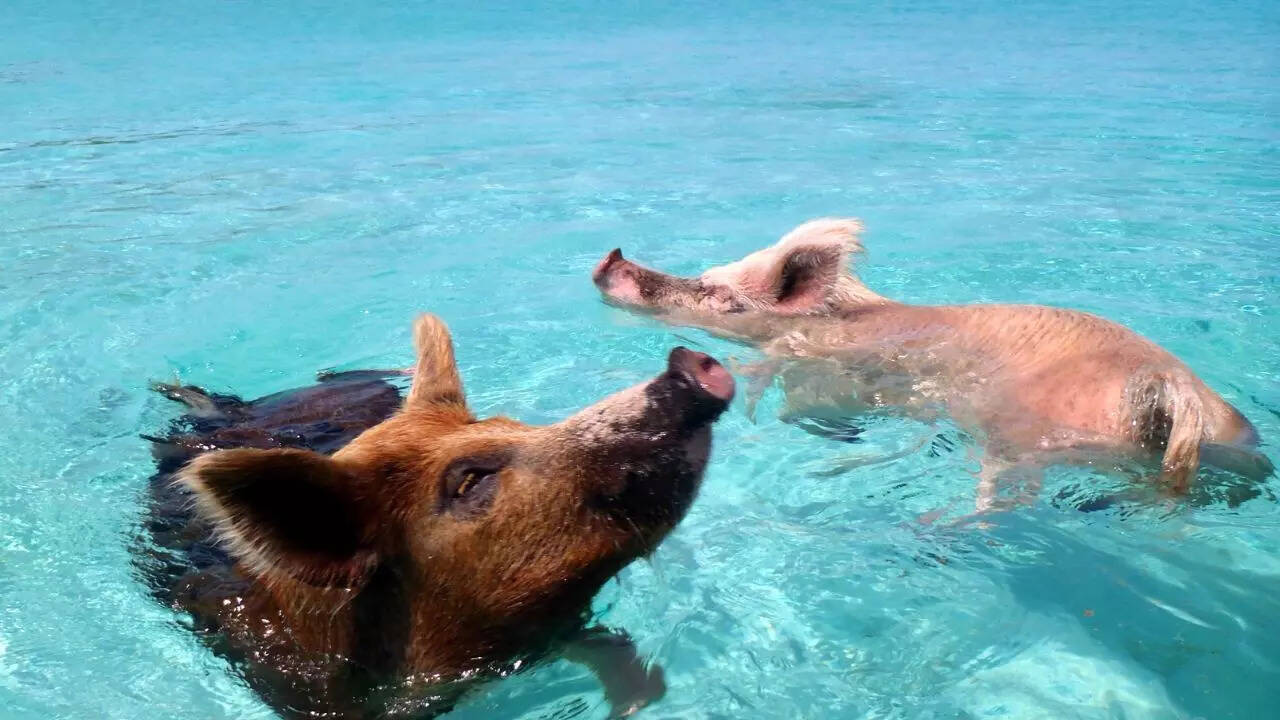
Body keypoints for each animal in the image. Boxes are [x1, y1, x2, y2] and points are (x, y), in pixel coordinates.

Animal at [592, 218, 1268, 509]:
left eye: (716, 292)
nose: (609, 258)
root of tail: (1169, 388)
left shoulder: (817, 368)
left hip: (1019, 432)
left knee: (1004, 499)